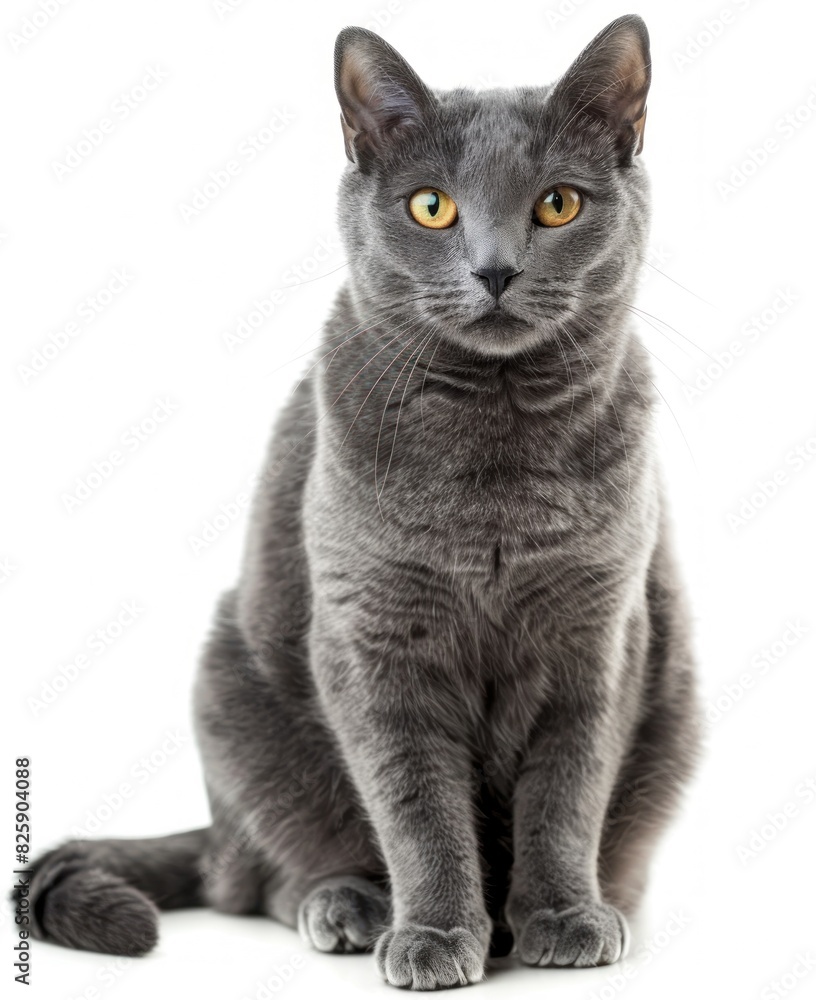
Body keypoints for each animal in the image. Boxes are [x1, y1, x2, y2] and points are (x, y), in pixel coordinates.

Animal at [25, 17, 700, 992]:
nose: (495, 270)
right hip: (233, 695)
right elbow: (415, 804)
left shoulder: (599, 635)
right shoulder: (374, 637)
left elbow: (567, 791)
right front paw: (436, 933)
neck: (493, 459)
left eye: (558, 204)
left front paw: (563, 917)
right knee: (265, 879)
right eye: (432, 207)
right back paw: (351, 905)